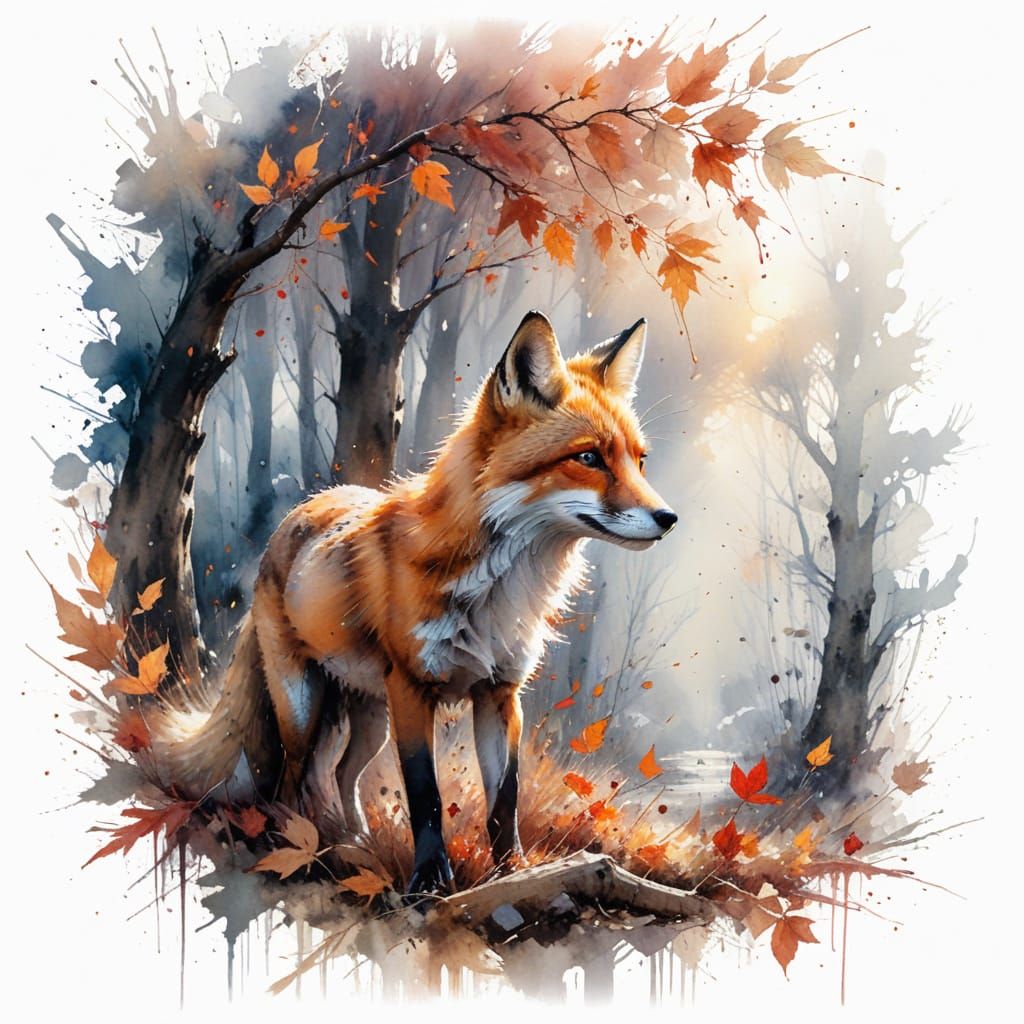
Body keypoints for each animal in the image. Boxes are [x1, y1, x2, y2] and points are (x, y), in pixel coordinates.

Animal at [153, 310, 677, 894]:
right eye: (587, 457)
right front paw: (428, 880)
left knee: (336, 773)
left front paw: (513, 871)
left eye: (639, 462)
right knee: (289, 778)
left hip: (368, 717)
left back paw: (351, 842)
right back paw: (295, 849)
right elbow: (425, 792)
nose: (668, 517)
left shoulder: (500, 693)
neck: (495, 590)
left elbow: (505, 797)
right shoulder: (411, 688)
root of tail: (298, 514)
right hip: (304, 704)